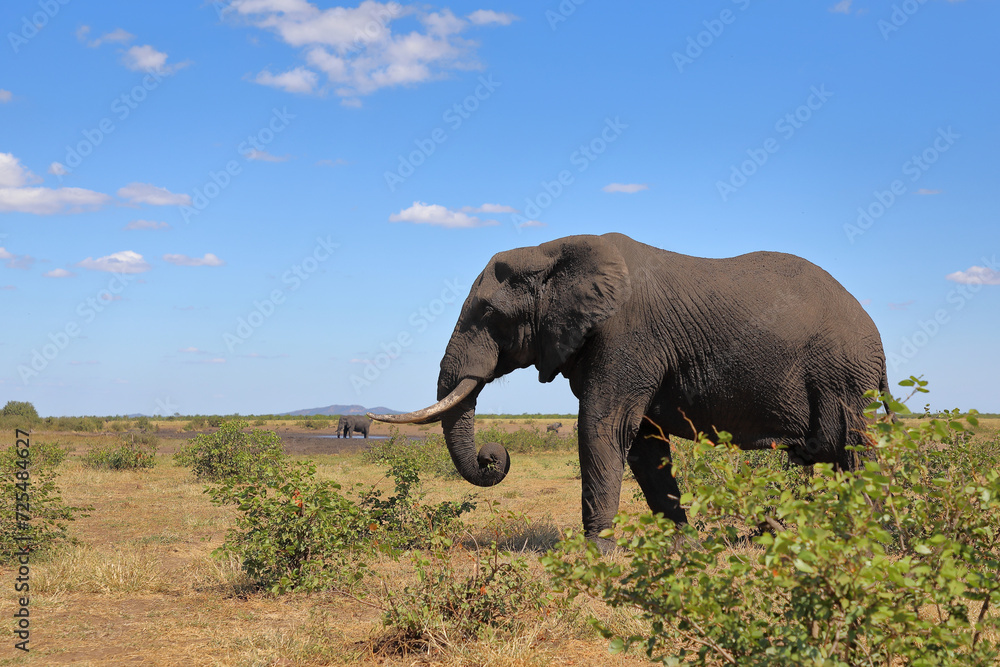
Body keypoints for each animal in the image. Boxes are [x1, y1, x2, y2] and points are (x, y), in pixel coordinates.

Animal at [370, 233, 890, 550]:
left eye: (489, 314)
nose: (492, 456)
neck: (553, 251)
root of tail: (876, 334)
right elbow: (643, 443)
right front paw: (682, 545)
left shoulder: (627, 337)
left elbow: (603, 427)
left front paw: (597, 551)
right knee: (823, 456)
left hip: (844, 374)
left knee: (851, 451)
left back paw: (867, 537)